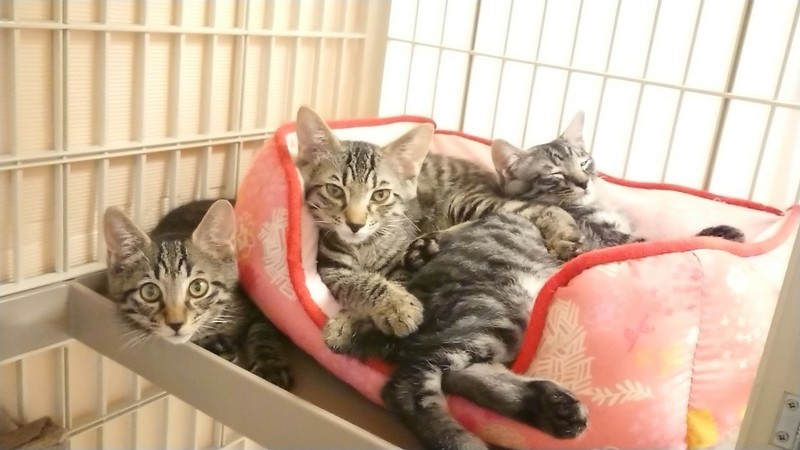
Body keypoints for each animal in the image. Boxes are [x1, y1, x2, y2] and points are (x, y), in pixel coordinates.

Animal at [103, 199, 293, 390]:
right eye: (150, 291)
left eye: (198, 287)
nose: (176, 324)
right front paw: (216, 343)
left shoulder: (259, 303)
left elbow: (263, 331)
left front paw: (270, 366)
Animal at [293, 106, 585, 354]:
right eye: (334, 190)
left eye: (380, 195)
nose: (355, 224)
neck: (365, 246)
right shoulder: (332, 269)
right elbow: (359, 283)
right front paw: (386, 305)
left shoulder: (401, 265)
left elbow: (387, 283)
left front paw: (360, 317)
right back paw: (428, 245)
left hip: (465, 201)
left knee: (539, 209)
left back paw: (563, 234)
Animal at [490, 111, 745, 250]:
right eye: (556, 174)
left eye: (584, 163)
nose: (584, 182)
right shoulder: (609, 239)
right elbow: (658, 242)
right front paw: (719, 234)